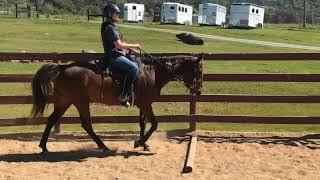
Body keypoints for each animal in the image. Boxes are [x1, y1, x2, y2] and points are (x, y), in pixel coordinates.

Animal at [31, 54, 204, 154]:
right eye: (199, 71)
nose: (199, 91)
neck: (152, 73)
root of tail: (63, 67)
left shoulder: (143, 104)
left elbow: (142, 123)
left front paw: (144, 144)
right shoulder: (146, 104)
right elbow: (154, 124)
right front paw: (139, 143)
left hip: (64, 101)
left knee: (52, 120)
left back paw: (44, 147)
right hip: (80, 102)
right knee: (86, 124)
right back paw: (103, 146)